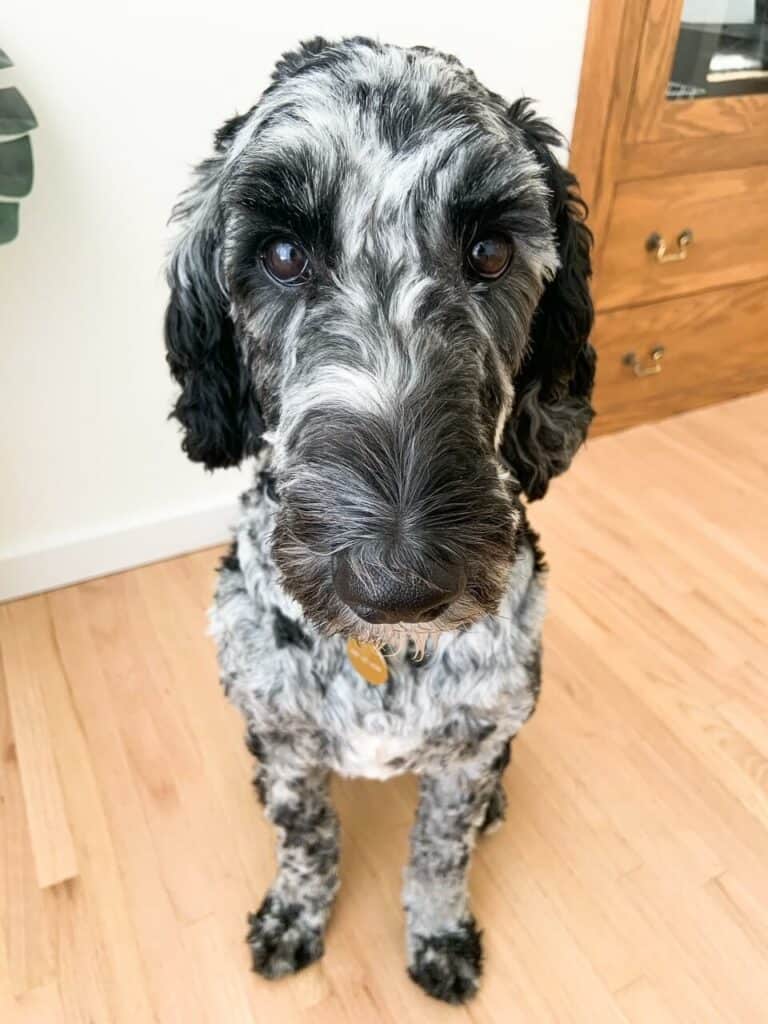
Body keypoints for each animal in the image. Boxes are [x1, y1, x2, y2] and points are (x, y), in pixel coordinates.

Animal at [163, 36, 593, 1003]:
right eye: (283, 253)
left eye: (491, 250)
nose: (399, 584)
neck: (384, 659)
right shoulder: (284, 738)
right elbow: (307, 837)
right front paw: (294, 914)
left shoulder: (471, 744)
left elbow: (440, 850)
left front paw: (438, 934)